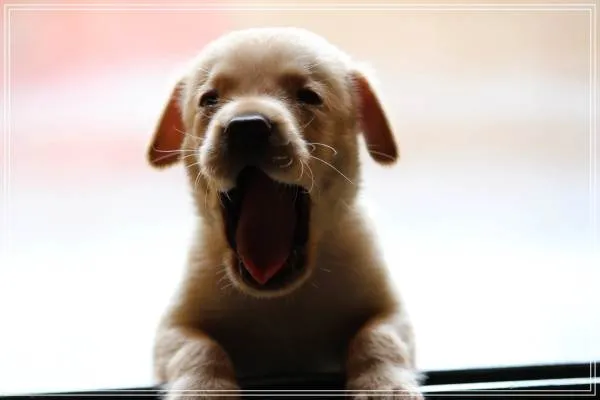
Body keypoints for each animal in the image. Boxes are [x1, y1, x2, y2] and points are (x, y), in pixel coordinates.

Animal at [147, 27, 423, 400]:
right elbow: (198, 349)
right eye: (208, 100)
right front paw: (204, 390)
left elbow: (378, 337)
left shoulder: (390, 310)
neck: (280, 299)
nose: (247, 125)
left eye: (308, 96)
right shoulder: (174, 326)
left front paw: (384, 385)